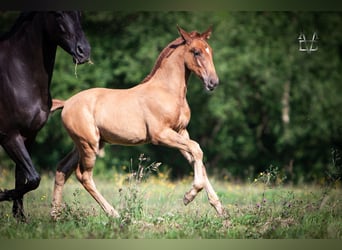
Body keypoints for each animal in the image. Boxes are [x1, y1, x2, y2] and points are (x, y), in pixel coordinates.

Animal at [0, 11, 91, 219]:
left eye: (79, 13)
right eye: (58, 14)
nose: (84, 52)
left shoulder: (29, 135)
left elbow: (23, 177)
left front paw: (19, 218)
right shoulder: (9, 135)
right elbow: (34, 178)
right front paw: (4, 195)